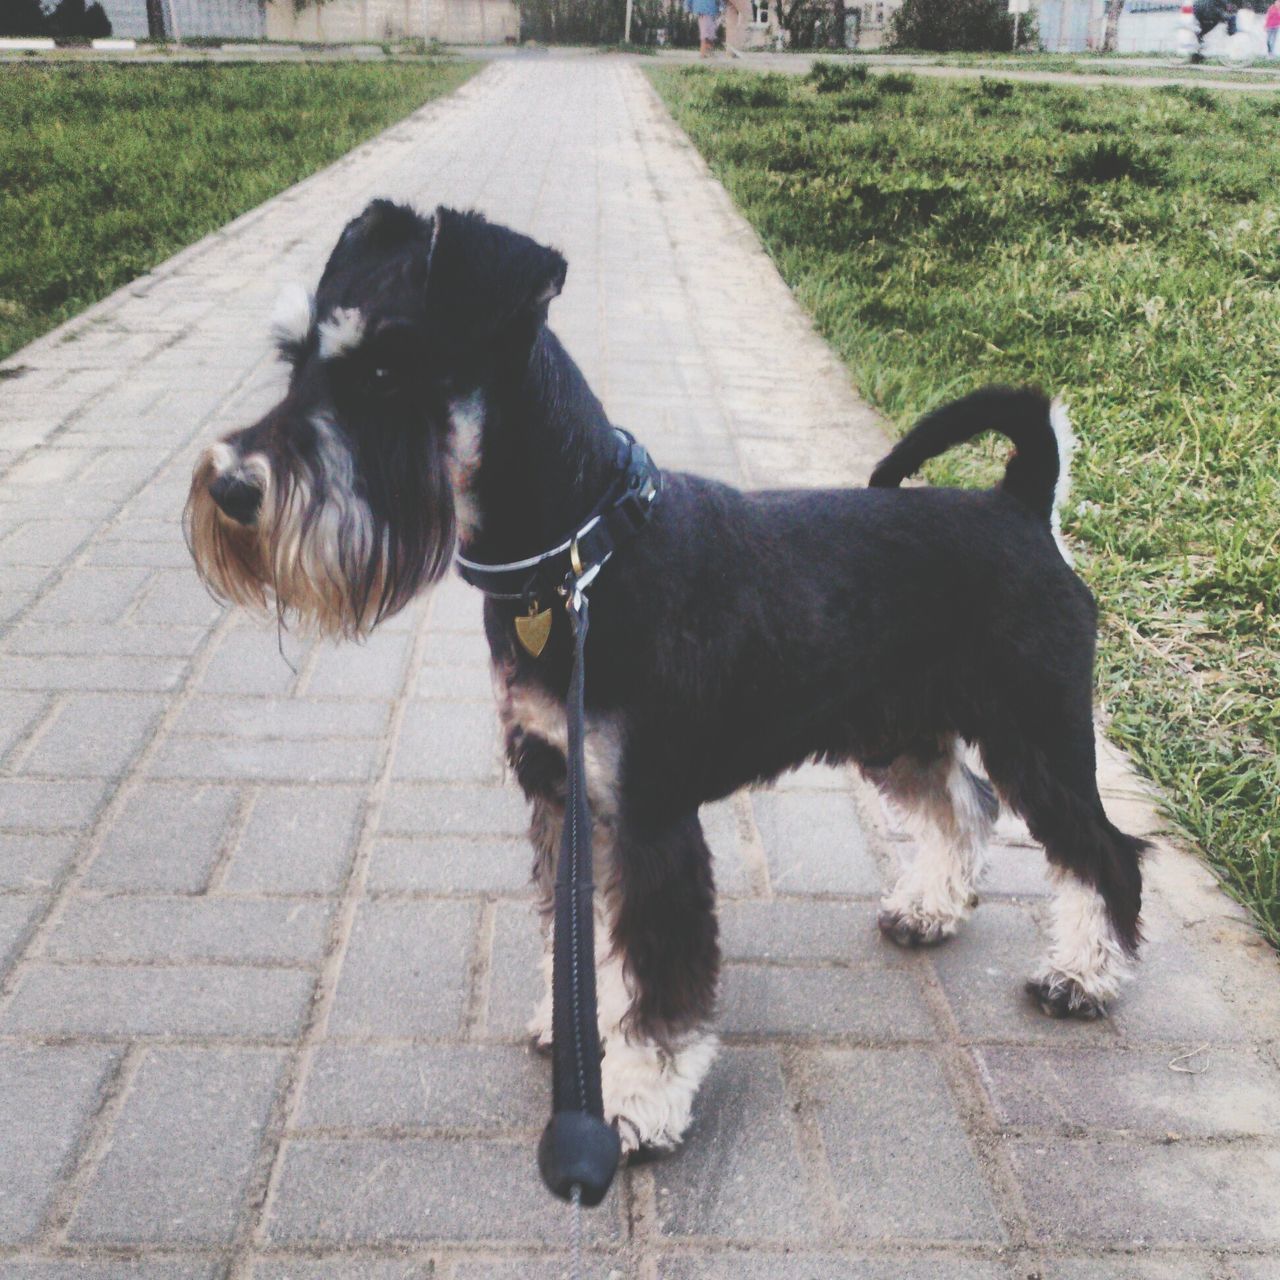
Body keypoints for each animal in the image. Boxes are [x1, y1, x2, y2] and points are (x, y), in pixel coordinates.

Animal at [183, 204, 1152, 1157]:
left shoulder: (650, 818)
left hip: (1036, 733)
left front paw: (637, 1098)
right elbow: (585, 933)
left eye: (388, 367)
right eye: (295, 358)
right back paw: (931, 909)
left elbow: (658, 975)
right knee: (964, 804)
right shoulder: (564, 794)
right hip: (899, 730)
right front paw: (576, 1021)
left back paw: (1081, 975)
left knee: (1102, 850)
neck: (580, 556)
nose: (233, 487)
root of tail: (1022, 506)